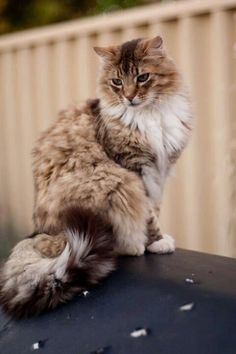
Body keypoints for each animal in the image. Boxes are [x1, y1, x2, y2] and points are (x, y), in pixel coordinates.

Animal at [0, 36, 192, 318]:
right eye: (117, 82)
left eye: (143, 77)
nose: (129, 97)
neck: (148, 114)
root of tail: (37, 233)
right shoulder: (135, 170)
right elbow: (149, 216)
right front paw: (157, 242)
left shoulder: (160, 172)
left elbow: (155, 209)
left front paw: (156, 241)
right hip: (113, 185)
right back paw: (132, 246)